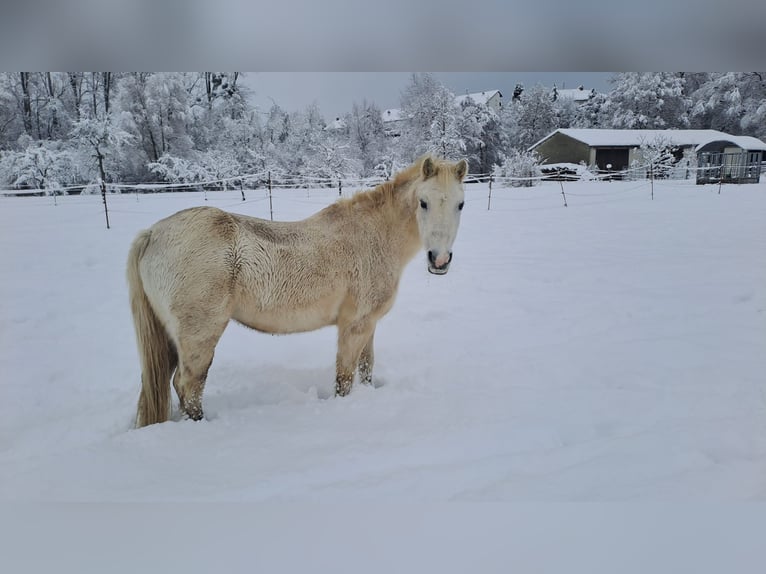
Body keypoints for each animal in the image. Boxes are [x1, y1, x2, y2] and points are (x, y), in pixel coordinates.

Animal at [127, 156, 468, 428]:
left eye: (460, 204)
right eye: (423, 202)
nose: (439, 260)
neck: (373, 237)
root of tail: (153, 233)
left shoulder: (368, 325)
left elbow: (366, 368)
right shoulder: (354, 327)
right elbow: (345, 378)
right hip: (199, 337)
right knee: (188, 387)